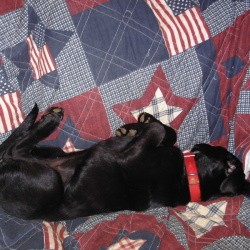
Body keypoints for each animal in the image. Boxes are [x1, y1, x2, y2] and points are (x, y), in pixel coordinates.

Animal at [0, 104, 249, 221]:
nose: (200, 144)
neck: (188, 178)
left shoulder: (133, 155)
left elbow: (159, 129)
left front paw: (140, 127)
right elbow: (169, 132)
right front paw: (134, 127)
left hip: (50, 182)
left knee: (13, 150)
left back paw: (49, 121)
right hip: (54, 152)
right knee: (16, 149)